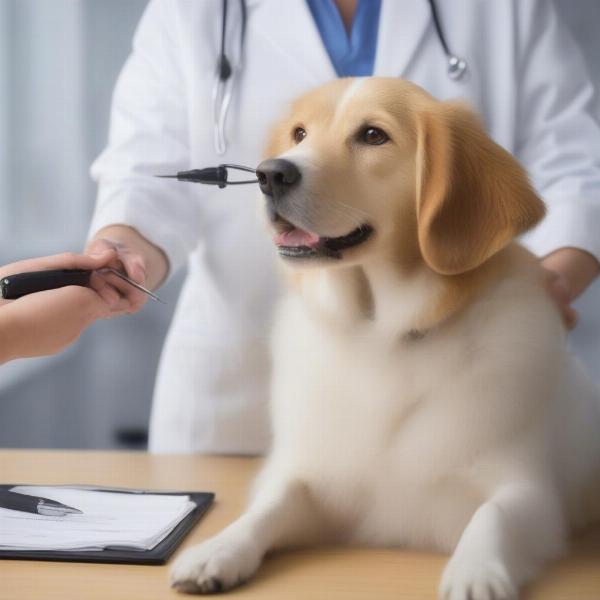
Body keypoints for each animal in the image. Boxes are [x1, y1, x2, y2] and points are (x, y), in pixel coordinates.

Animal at [169, 77, 600, 596]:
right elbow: (269, 507)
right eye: (299, 134)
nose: (270, 174)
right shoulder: (316, 481)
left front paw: (475, 572)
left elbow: (492, 516)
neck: (383, 330)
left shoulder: (528, 490)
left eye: (373, 135)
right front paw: (218, 549)